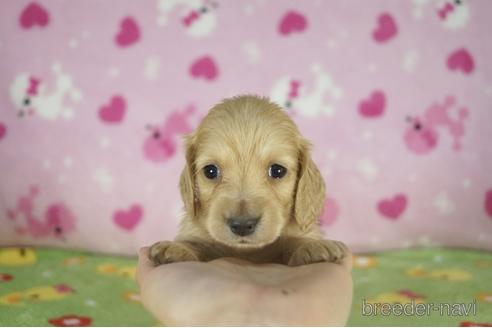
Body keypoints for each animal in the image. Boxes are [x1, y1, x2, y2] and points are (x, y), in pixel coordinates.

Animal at [150, 95, 346, 266]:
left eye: (278, 170)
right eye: (210, 171)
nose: (242, 225)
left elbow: (294, 241)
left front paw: (312, 247)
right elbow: (197, 243)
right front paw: (177, 248)